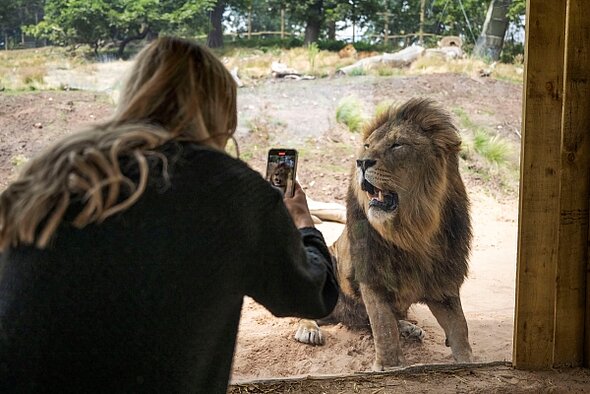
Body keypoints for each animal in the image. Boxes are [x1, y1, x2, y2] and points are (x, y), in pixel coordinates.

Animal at [298, 97, 474, 370]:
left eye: (397, 144)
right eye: (367, 145)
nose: (361, 162)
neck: (415, 232)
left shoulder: (443, 281)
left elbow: (460, 328)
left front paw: (467, 363)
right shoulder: (373, 275)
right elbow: (384, 328)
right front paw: (390, 368)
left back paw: (409, 327)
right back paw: (309, 329)